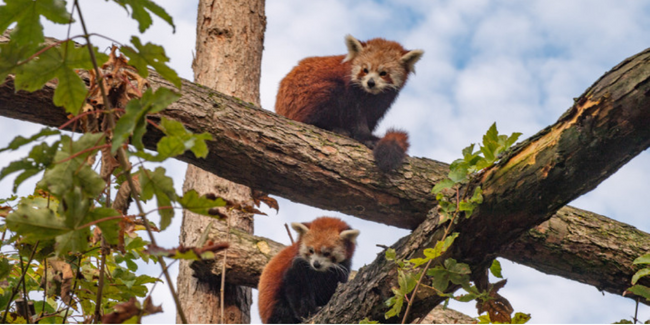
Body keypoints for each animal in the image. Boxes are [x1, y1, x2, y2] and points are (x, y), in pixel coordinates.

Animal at [274, 35, 420, 171]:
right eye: (365, 70)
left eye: (383, 73)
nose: (370, 83)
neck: (369, 94)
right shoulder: (350, 90)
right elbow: (355, 116)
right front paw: (367, 138)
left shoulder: (382, 102)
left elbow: (372, 116)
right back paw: (332, 127)